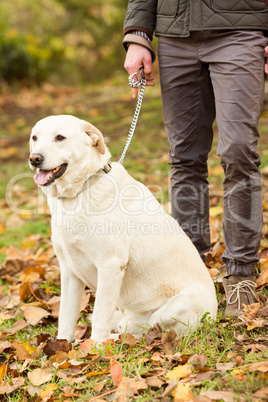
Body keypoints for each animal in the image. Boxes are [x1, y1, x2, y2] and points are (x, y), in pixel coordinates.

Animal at [29, 114, 218, 344]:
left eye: (60, 137)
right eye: (35, 138)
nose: (34, 159)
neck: (80, 192)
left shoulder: (110, 265)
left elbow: (100, 314)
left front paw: (96, 347)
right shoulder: (69, 271)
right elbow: (65, 317)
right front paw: (62, 347)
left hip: (183, 302)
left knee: (146, 330)